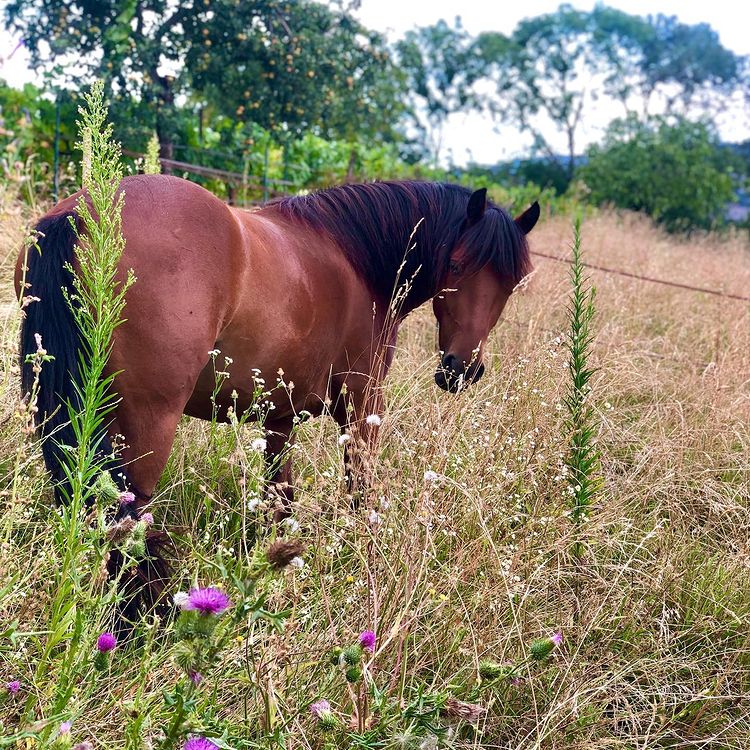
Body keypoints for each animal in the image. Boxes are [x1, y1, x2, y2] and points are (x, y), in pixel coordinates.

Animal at [19, 179, 540, 608]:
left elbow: (281, 499)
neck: (353, 259)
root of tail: (83, 211)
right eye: (456, 264)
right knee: (127, 521)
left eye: (512, 283)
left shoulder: (280, 416)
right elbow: (360, 489)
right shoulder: (362, 404)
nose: (461, 370)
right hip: (145, 427)